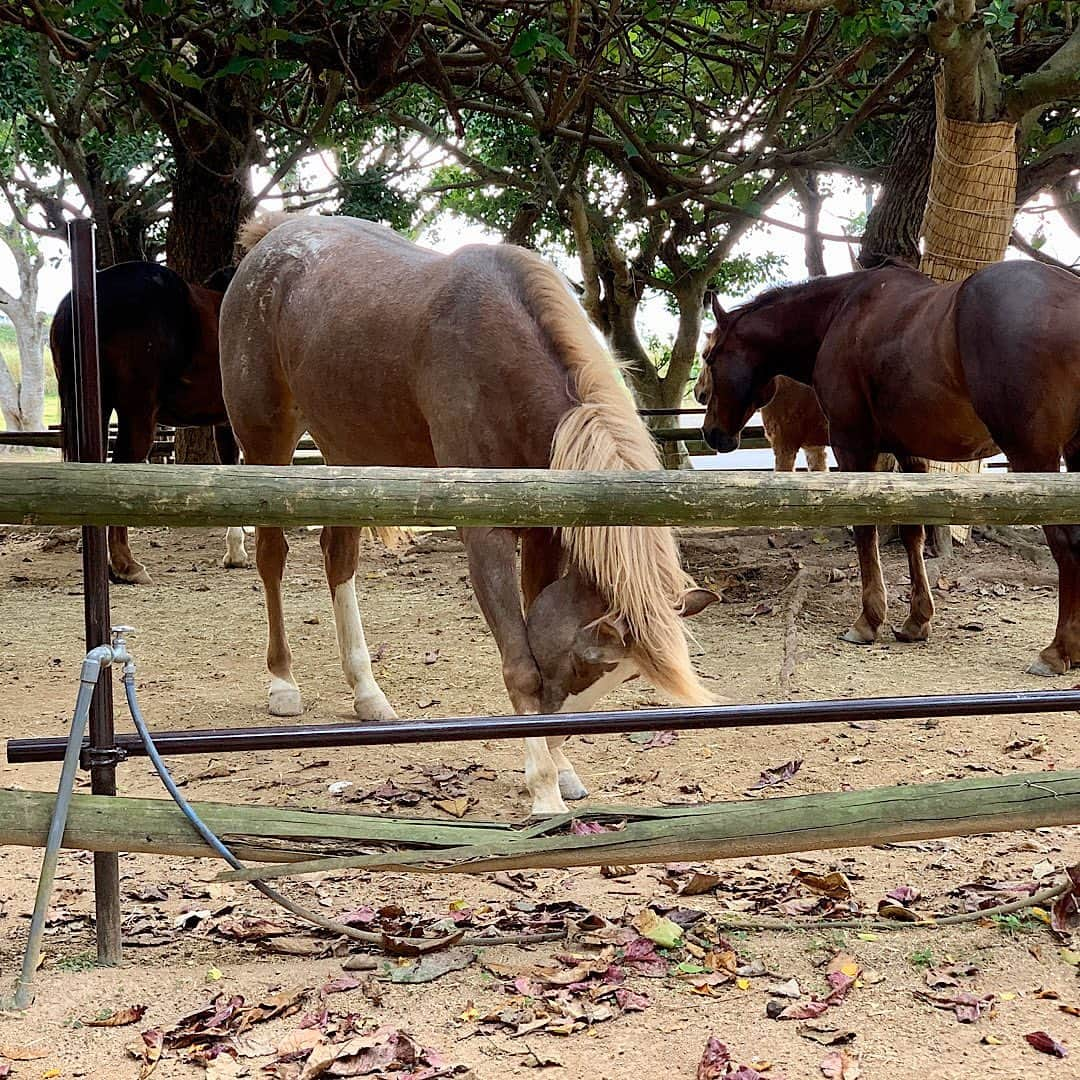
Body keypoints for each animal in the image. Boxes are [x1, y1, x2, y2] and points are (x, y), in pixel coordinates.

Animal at [218, 214, 717, 812]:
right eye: (585, 662)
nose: (559, 733)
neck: (501, 355)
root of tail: (269, 235)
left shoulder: (545, 532)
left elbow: (530, 629)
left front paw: (561, 770)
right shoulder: (486, 537)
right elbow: (520, 665)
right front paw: (545, 791)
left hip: (349, 450)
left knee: (338, 556)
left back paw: (367, 693)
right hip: (266, 439)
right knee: (272, 554)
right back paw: (283, 682)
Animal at [699, 255, 1080, 669]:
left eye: (710, 357)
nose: (711, 432)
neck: (840, 314)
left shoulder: (853, 446)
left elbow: (865, 530)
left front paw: (868, 620)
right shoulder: (908, 452)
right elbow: (912, 532)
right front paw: (916, 620)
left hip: (1034, 456)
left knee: (1065, 541)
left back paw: (1059, 649)